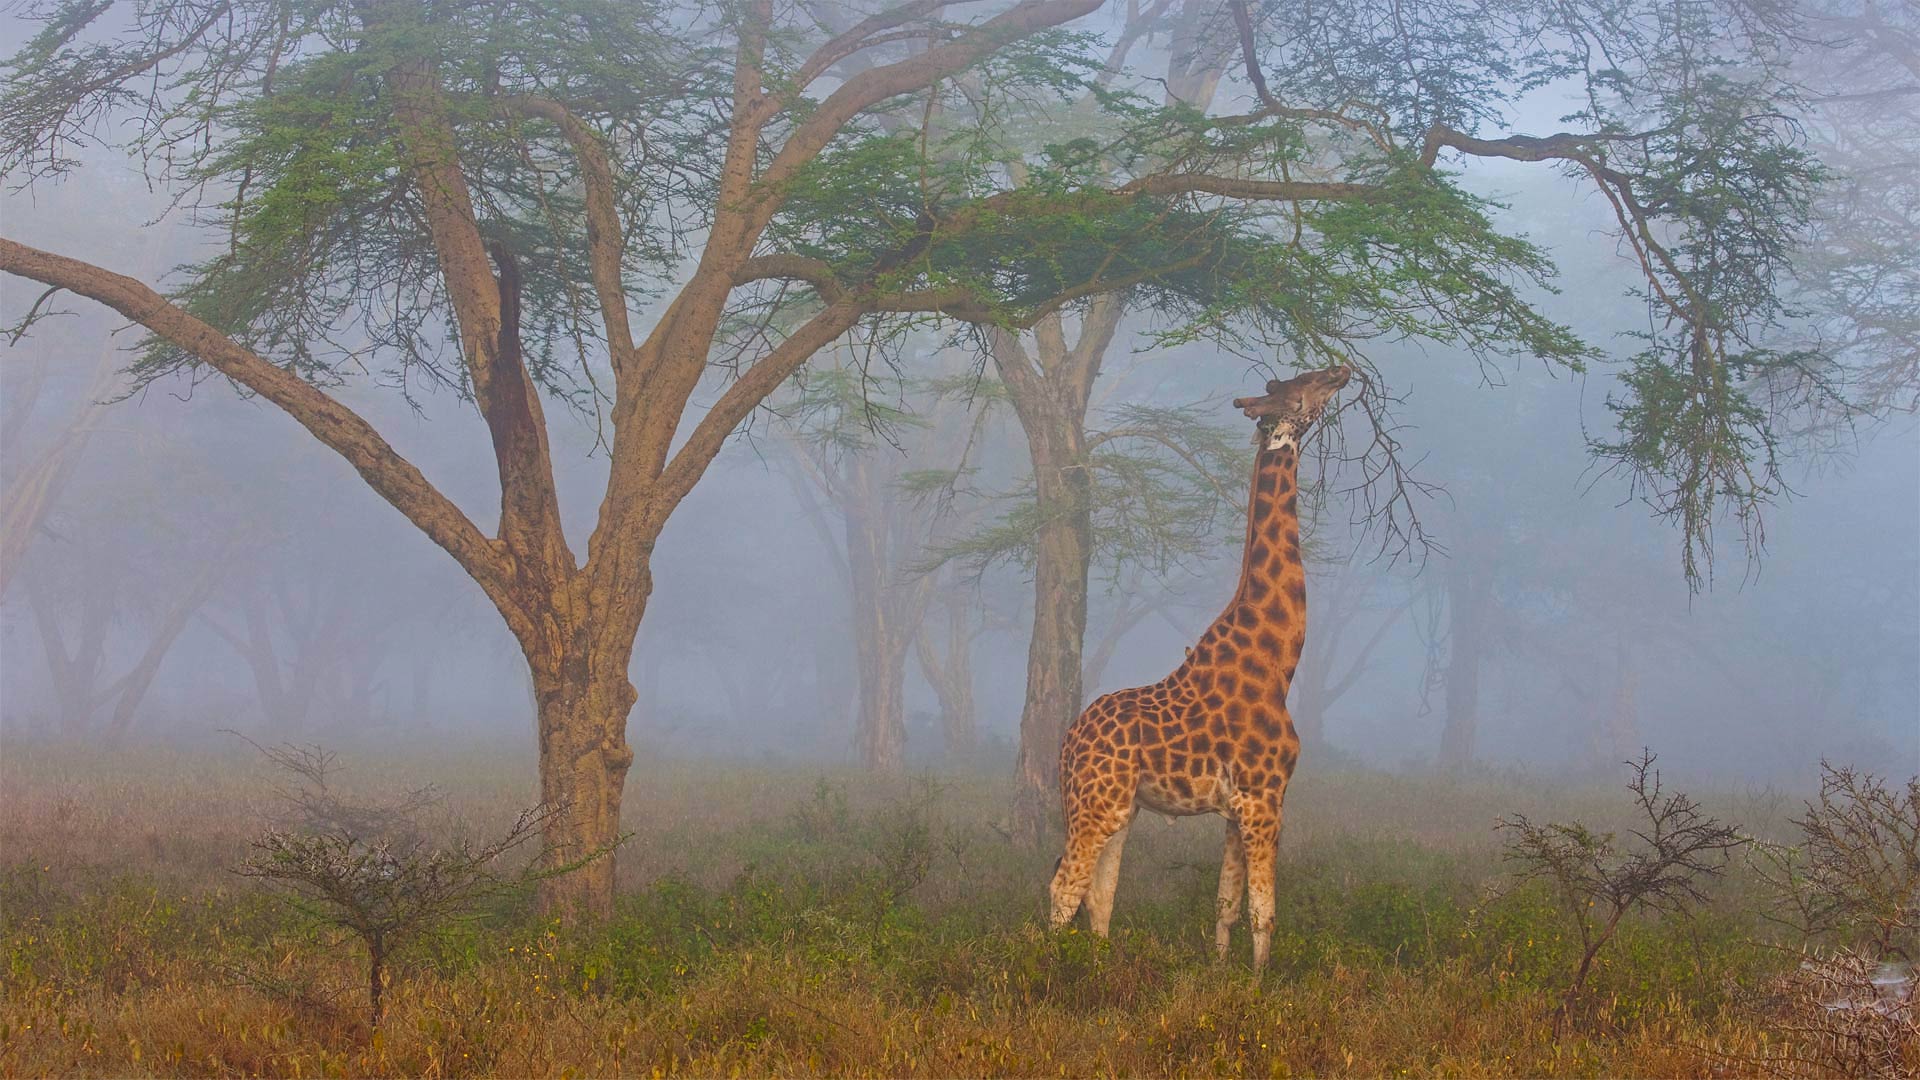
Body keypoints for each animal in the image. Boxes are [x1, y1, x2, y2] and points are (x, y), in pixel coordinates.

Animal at [1052, 365, 1351, 960]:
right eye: (1302, 383)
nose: (1344, 370)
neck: (1278, 664)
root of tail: (1068, 742)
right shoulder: (1265, 797)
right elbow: (1264, 913)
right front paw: (1259, 982)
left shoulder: (1238, 809)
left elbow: (1226, 906)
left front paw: (1220, 974)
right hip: (1098, 802)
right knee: (1064, 885)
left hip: (1120, 806)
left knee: (1099, 891)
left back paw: (1098, 965)